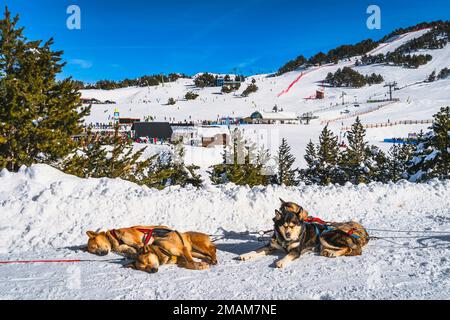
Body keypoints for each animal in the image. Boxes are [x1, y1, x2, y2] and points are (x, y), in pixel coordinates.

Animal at [239, 200, 370, 268]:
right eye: (284, 225)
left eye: (293, 225)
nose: (288, 234)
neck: (284, 240)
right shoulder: (270, 246)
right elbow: (256, 251)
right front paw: (245, 255)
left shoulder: (295, 251)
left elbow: (288, 255)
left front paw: (281, 261)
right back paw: (328, 251)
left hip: (324, 236)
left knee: (350, 249)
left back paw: (333, 253)